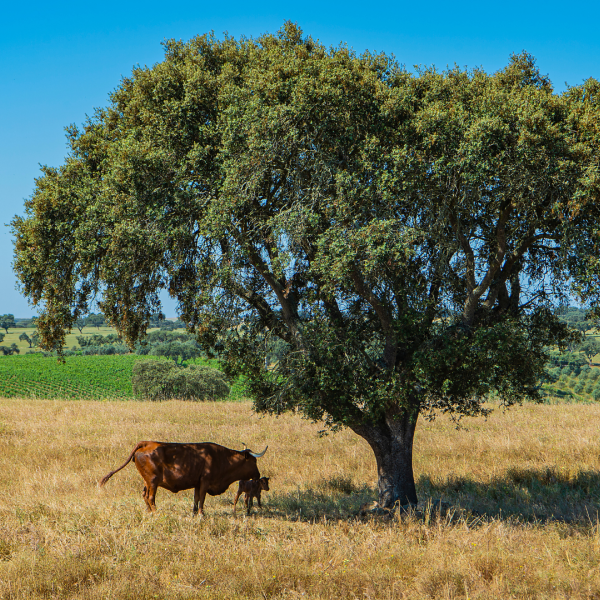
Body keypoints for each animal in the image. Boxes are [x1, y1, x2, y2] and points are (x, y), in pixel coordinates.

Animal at [100, 440, 268, 516]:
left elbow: (196, 498)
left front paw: (194, 513)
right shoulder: (205, 481)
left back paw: (148, 512)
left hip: (146, 481)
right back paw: (156, 513)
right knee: (150, 497)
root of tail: (146, 443)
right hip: (153, 481)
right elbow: (202, 498)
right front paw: (201, 514)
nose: (258, 475)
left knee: (144, 495)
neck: (220, 457)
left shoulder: (197, 483)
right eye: (254, 461)